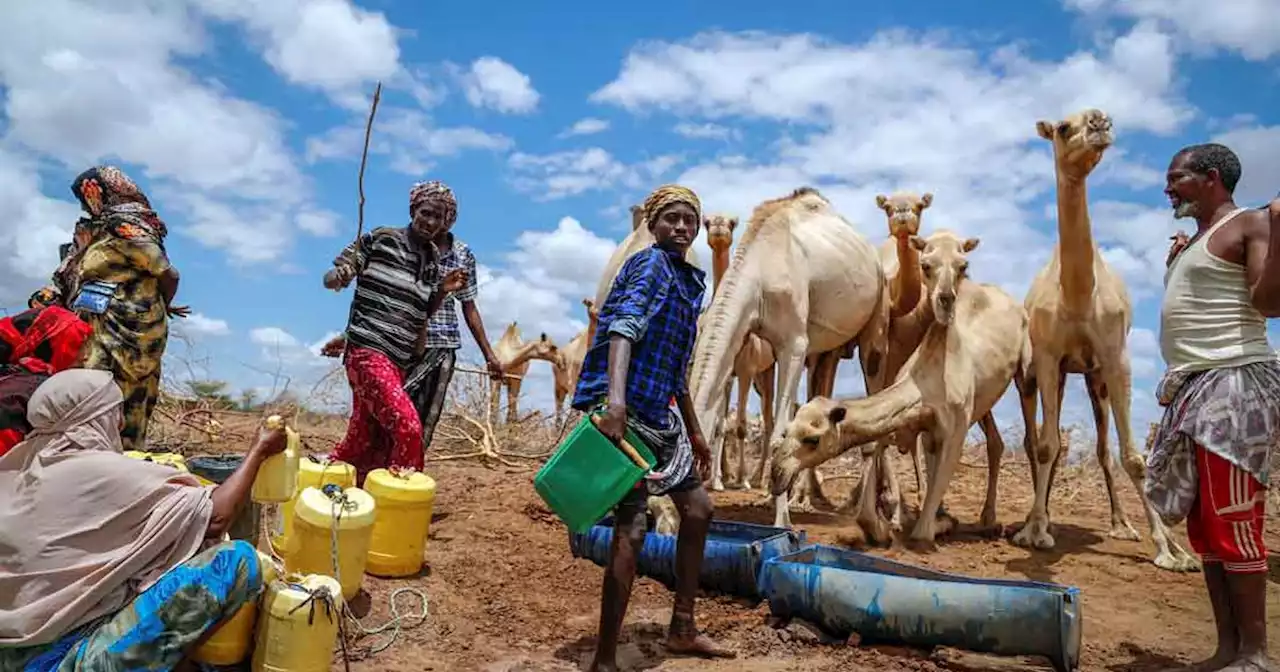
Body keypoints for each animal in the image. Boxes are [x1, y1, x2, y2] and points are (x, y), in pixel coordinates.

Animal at [691, 184, 890, 529]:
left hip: (874, 321)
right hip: (826, 349)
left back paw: (868, 511)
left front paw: (782, 522)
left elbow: (777, 436)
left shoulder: (794, 343)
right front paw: (773, 498)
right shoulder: (746, 343)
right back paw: (806, 497)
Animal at [768, 229, 1029, 540]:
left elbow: (922, 532)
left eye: (813, 439)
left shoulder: (955, 429)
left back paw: (997, 522)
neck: (924, 386)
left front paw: (930, 523)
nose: (776, 474)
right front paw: (887, 525)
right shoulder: (921, 427)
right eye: (787, 432)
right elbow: (883, 458)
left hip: (1025, 369)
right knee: (992, 440)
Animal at [1008, 108, 1198, 570]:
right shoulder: (1047, 357)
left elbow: (1134, 457)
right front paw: (1034, 531)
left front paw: (1169, 550)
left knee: (1102, 450)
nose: (1098, 121)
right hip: (1054, 374)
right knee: (1046, 441)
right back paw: (1041, 517)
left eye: (1102, 118)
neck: (1077, 294)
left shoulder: (1116, 357)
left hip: (1095, 378)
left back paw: (1124, 525)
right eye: (1062, 128)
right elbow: (1047, 445)